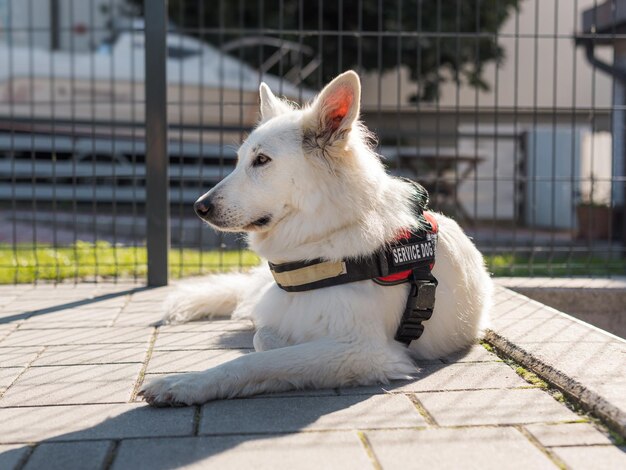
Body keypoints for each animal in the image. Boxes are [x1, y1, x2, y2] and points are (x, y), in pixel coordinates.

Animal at [138, 70, 492, 408]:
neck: (327, 234)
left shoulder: (364, 350)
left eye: (262, 160)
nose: (199, 207)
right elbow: (264, 337)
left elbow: (260, 361)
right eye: (239, 161)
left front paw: (185, 384)